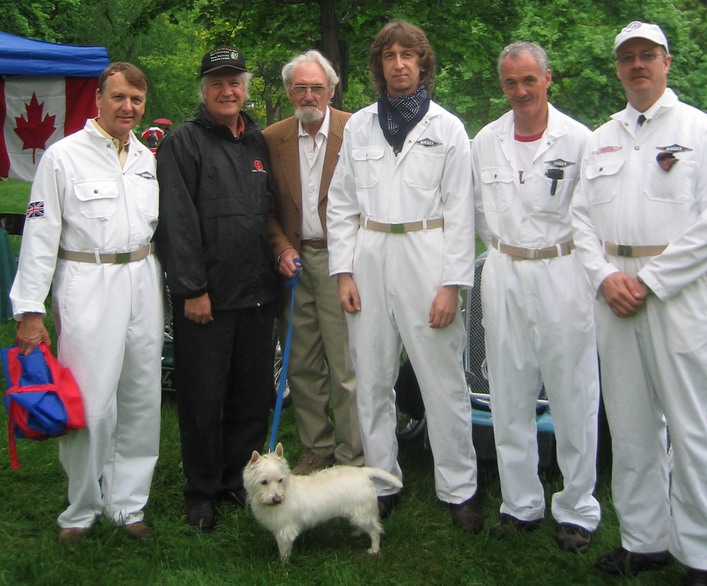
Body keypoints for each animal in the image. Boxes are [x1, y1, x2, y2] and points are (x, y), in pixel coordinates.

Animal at [243, 440, 402, 560]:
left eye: (280, 480)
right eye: (263, 482)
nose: (277, 499)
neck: (286, 491)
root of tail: (364, 472)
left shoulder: (285, 529)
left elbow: (284, 549)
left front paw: (283, 563)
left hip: (362, 512)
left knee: (375, 531)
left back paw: (374, 549)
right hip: (358, 513)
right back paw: (357, 532)